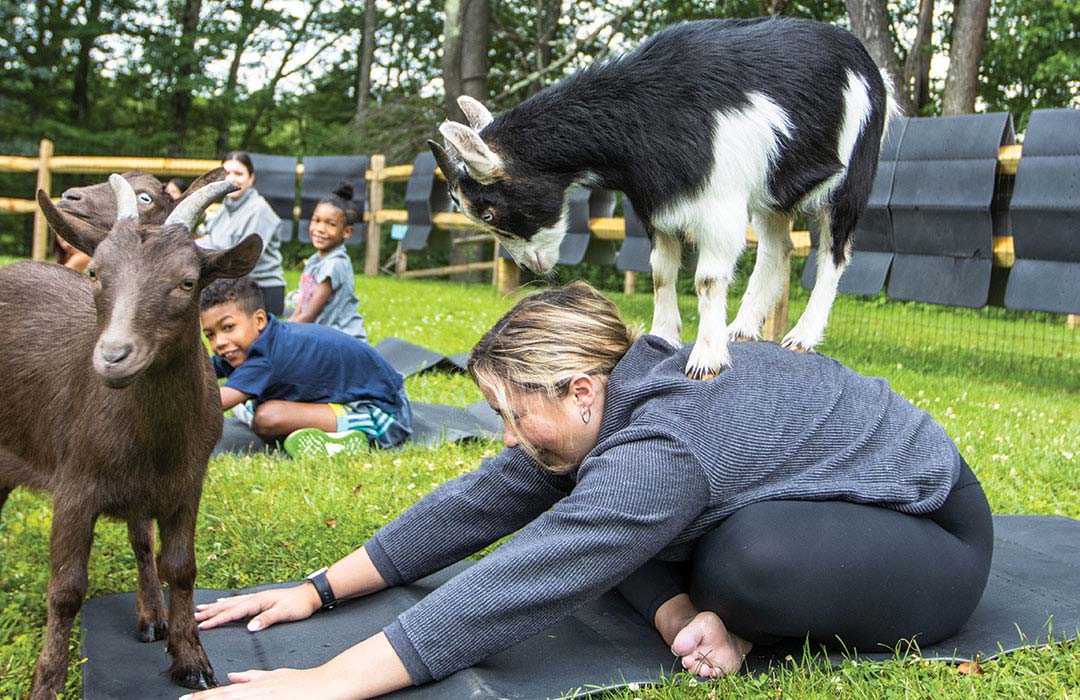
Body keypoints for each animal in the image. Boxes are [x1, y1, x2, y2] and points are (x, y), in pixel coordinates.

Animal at [0, 171, 260, 695]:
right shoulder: (75, 487)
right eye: (96, 273)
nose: (114, 356)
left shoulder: (186, 486)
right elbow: (65, 591)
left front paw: (190, 660)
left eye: (187, 281)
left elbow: (179, 568)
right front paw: (46, 685)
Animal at [429, 16, 894, 378]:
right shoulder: (656, 205)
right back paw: (742, 328)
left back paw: (802, 336)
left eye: (489, 212)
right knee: (776, 249)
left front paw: (706, 359)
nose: (531, 266)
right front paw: (663, 337)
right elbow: (660, 272)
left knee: (833, 254)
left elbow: (706, 279)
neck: (649, 109)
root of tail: (872, 69)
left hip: (851, 175)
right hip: (772, 189)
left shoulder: (718, 205)